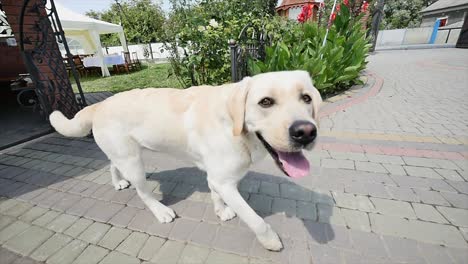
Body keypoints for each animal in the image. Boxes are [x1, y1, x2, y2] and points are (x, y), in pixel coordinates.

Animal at [51, 70, 322, 252]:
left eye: (306, 98)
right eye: (266, 102)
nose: (306, 132)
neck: (234, 126)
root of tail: (99, 105)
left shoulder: (218, 176)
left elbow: (215, 194)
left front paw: (221, 210)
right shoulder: (225, 181)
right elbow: (254, 218)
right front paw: (270, 240)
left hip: (123, 154)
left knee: (111, 164)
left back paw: (118, 182)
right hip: (133, 162)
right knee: (143, 193)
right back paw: (161, 211)